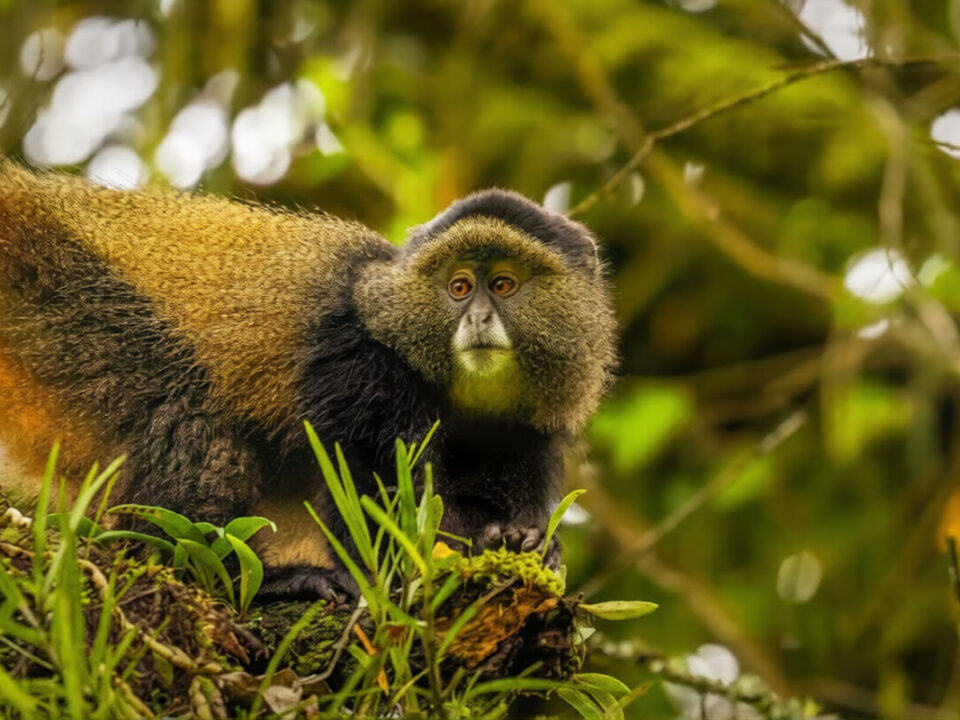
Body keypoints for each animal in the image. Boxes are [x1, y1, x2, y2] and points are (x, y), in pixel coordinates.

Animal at [0, 160, 617, 599]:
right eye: (460, 287)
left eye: (504, 285)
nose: (479, 318)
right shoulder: (359, 359)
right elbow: (366, 489)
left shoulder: (524, 429)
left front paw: (527, 543)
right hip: (66, 304)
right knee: (189, 418)